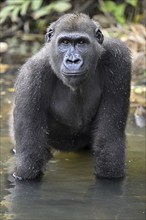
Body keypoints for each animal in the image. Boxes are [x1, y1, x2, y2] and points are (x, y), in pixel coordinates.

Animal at [11, 12, 132, 180]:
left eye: (81, 42)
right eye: (65, 42)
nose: (73, 60)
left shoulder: (118, 59)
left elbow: (109, 145)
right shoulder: (30, 76)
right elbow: (29, 159)